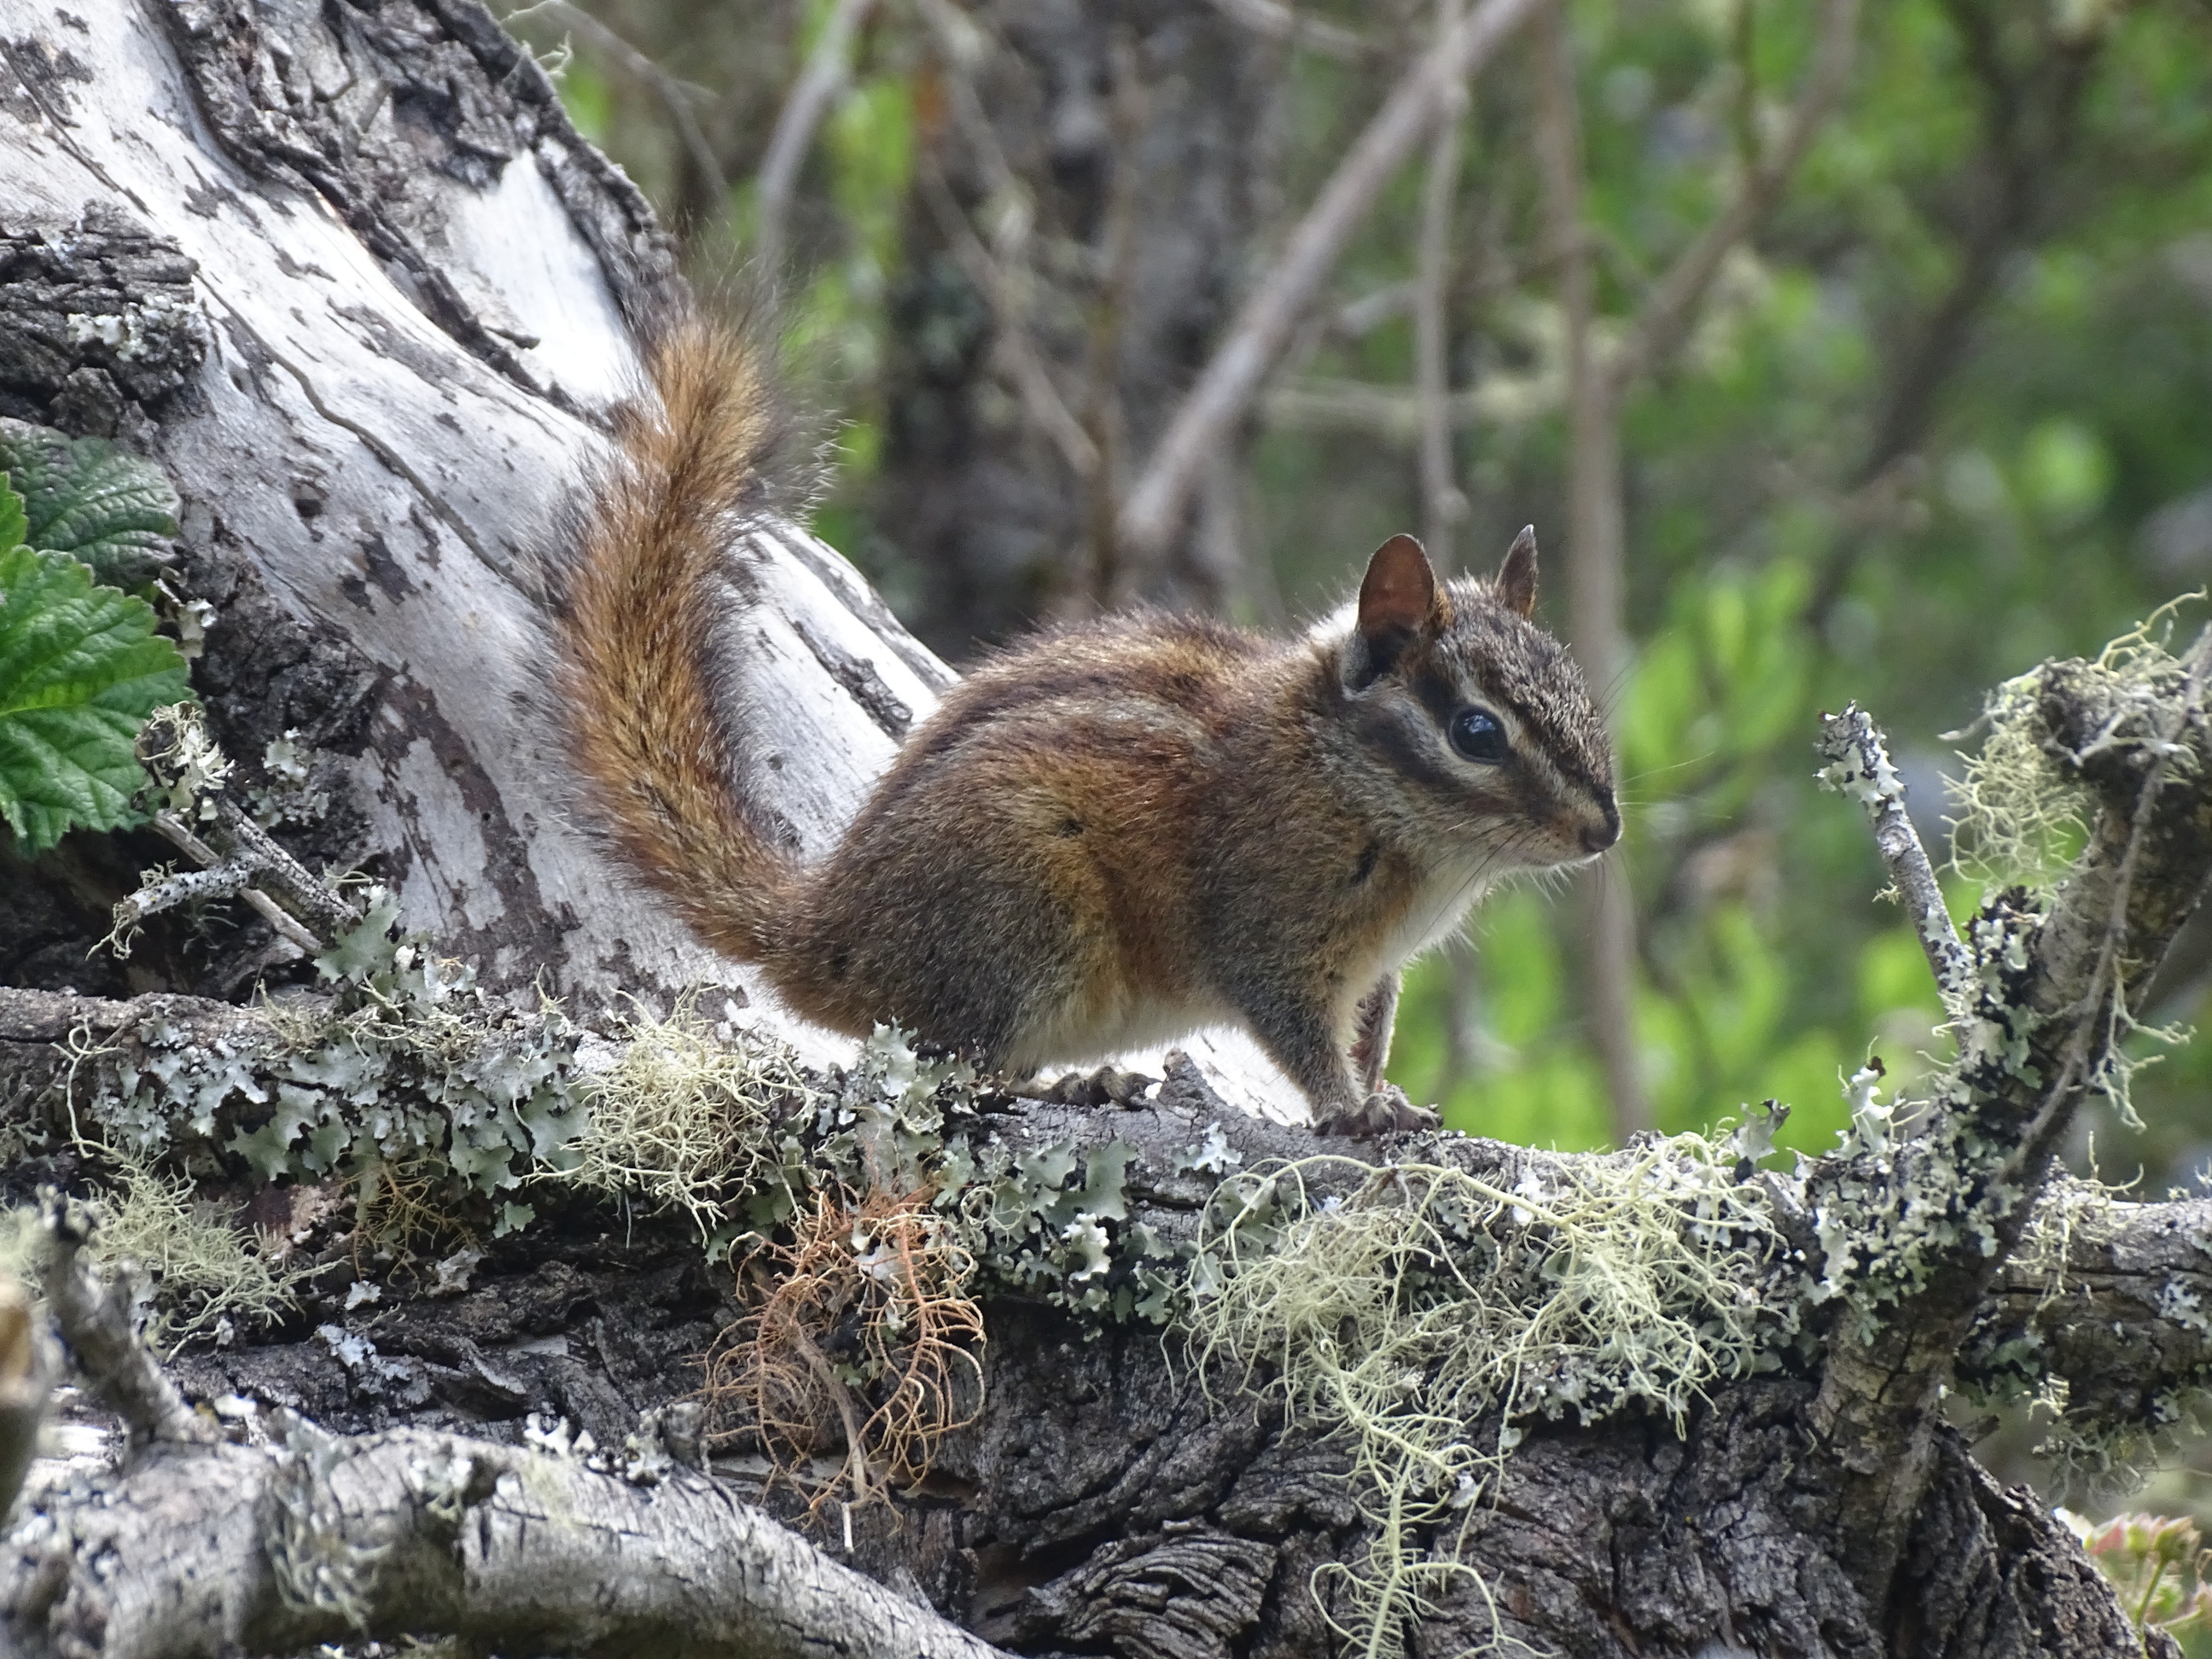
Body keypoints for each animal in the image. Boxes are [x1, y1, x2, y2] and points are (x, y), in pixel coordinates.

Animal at [551, 318, 1620, 1136]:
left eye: (1580, 694)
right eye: (1478, 733)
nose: (1604, 830)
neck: (1350, 781)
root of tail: (825, 935)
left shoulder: (1377, 973)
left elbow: (1367, 1035)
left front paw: (1384, 1092)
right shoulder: (1271, 924)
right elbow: (1297, 1031)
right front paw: (1353, 1111)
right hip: (1026, 913)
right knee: (954, 1065)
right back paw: (1077, 1082)